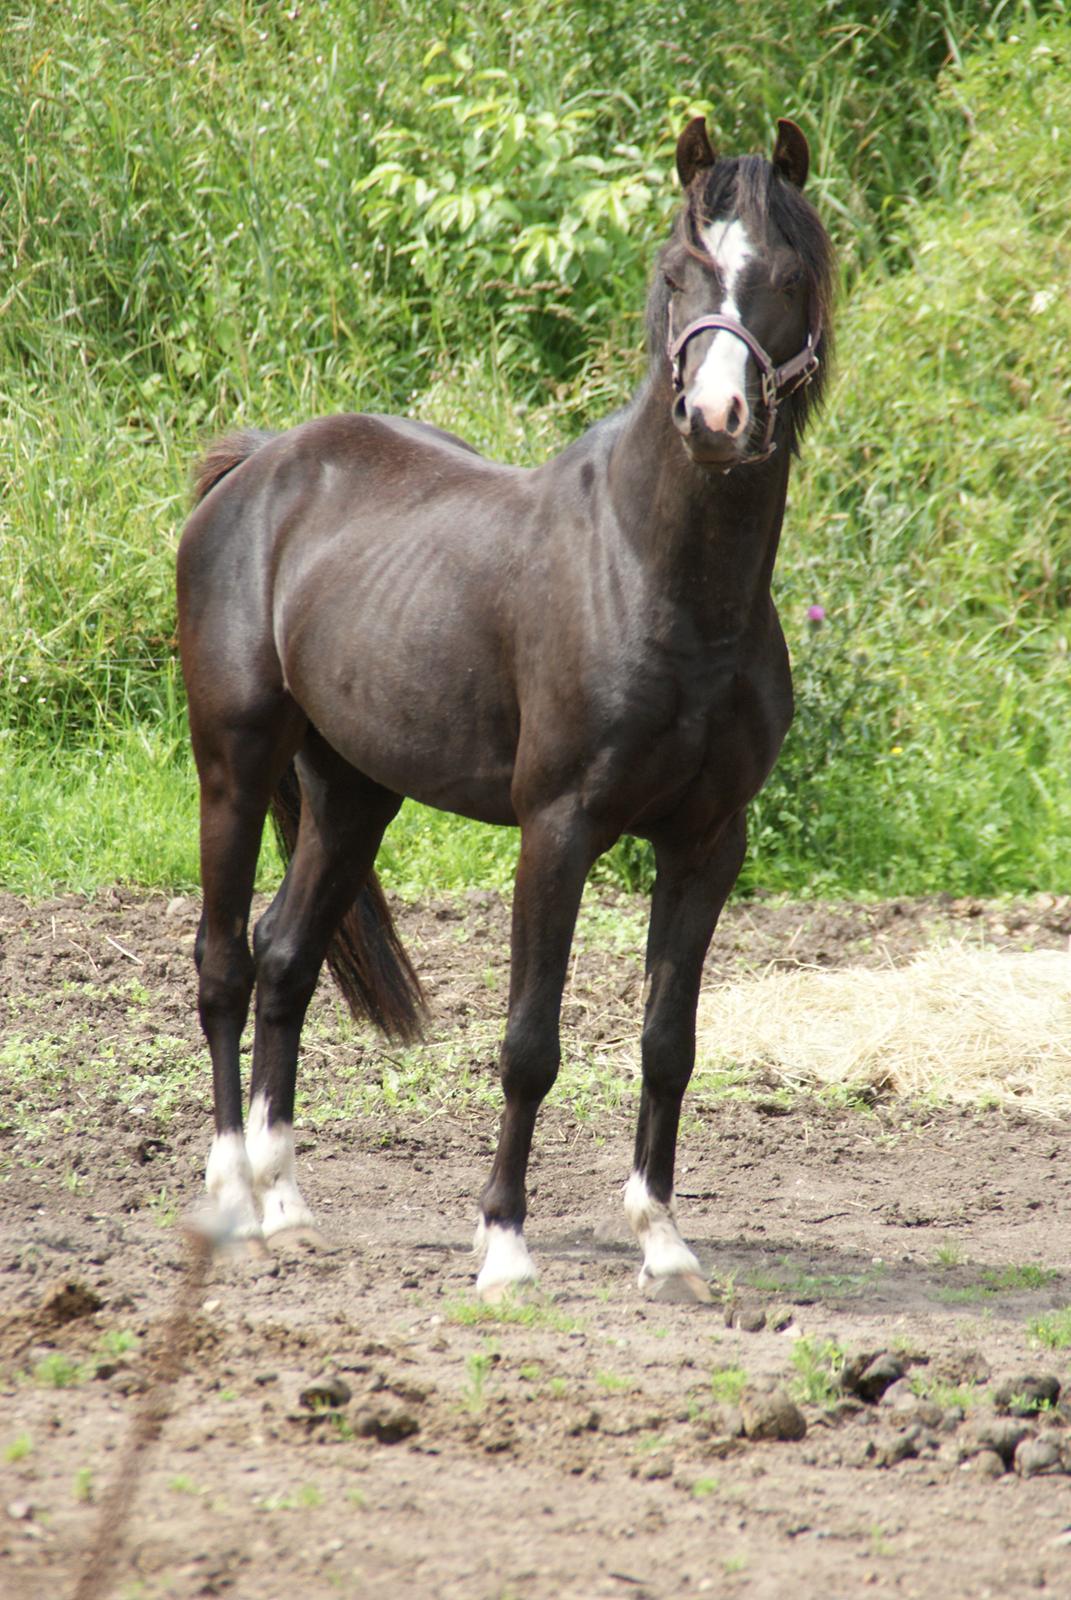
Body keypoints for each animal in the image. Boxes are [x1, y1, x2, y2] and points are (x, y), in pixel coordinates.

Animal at [175, 121, 832, 1299]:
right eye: (681, 273)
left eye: (789, 277)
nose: (716, 419)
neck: (665, 585)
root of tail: (258, 467)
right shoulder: (557, 829)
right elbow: (530, 1043)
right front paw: (505, 1247)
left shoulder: (709, 841)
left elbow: (670, 1041)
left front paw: (662, 1241)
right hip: (234, 765)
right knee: (223, 966)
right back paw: (232, 1199)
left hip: (351, 792)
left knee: (286, 958)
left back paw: (286, 1202)